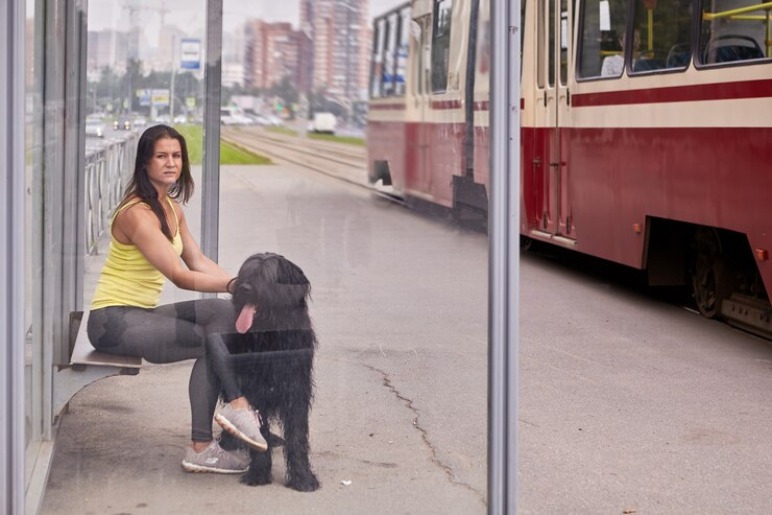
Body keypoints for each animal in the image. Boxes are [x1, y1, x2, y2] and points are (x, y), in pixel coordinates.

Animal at [219, 254, 318, 492]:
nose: (244, 288)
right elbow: (258, 431)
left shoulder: (296, 390)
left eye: (266, 276)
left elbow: (297, 435)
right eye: (247, 272)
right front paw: (259, 473)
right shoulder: (254, 390)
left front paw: (302, 477)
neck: (270, 336)